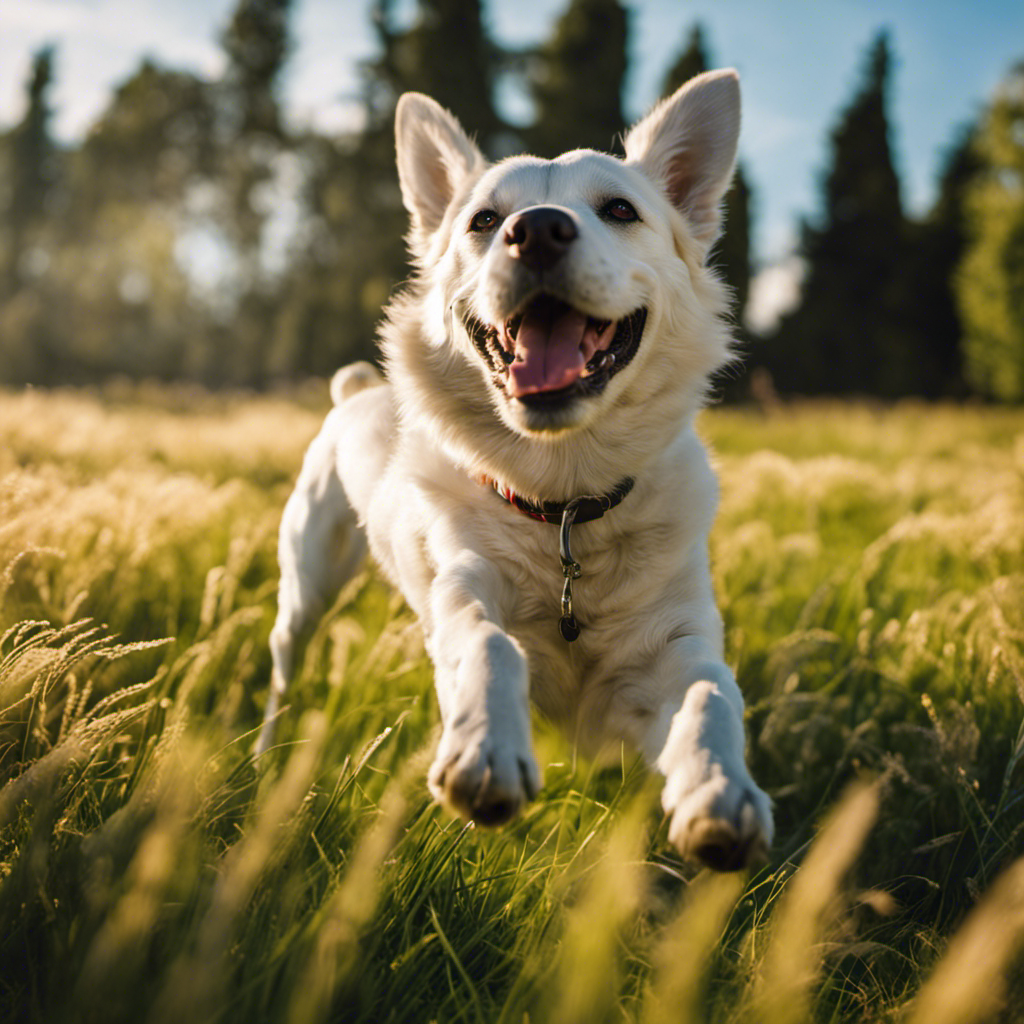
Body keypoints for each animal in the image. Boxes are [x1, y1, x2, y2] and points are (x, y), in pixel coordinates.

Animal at [260, 70, 770, 872]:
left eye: (620, 210)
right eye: (483, 219)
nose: (538, 230)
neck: (562, 500)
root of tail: (353, 392)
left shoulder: (675, 642)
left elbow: (712, 693)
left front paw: (719, 793)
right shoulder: (465, 586)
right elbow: (487, 644)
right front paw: (485, 754)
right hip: (306, 582)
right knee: (284, 668)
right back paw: (261, 760)